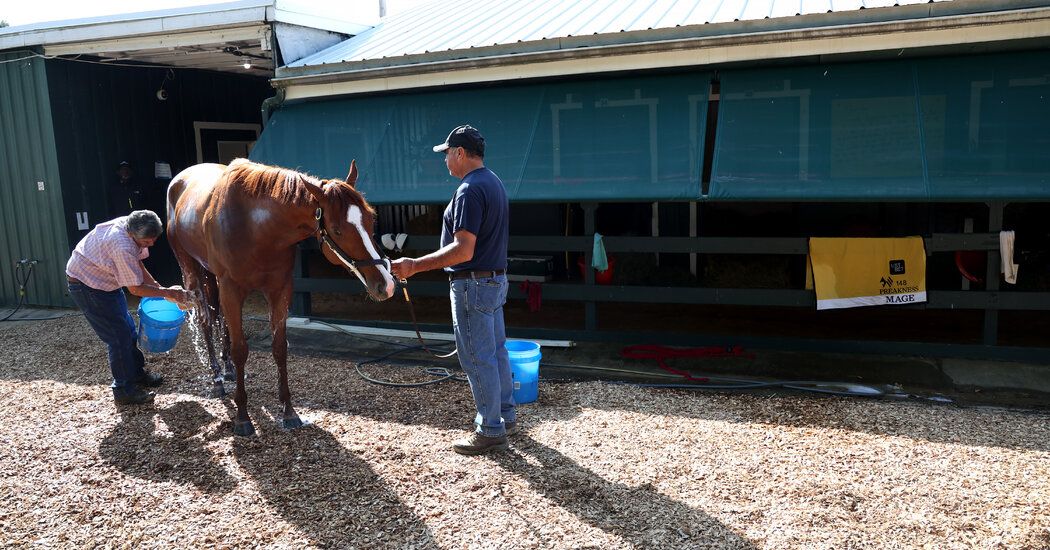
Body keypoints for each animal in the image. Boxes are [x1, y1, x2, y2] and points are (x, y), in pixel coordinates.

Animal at [165, 157, 394, 434]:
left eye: (370, 219)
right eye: (338, 230)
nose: (386, 284)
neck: (255, 226)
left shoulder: (280, 290)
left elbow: (279, 348)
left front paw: (289, 412)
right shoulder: (232, 289)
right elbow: (241, 349)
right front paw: (242, 417)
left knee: (221, 320)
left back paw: (228, 370)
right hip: (192, 271)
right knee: (206, 321)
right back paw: (217, 378)